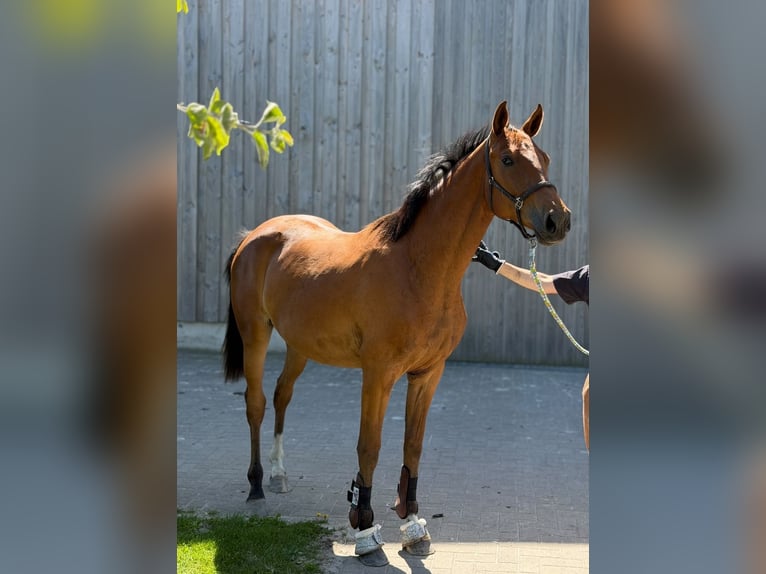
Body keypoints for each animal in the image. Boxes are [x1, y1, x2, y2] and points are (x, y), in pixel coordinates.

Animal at [222, 101, 571, 565]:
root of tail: (256, 236)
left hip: (300, 344)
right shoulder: (379, 374)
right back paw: (257, 483)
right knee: (256, 403)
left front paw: (413, 526)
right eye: (509, 160)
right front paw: (366, 531)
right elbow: (369, 446)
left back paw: (278, 474)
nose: (557, 220)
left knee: (282, 395)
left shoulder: (428, 374)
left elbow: (413, 446)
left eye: (545, 157)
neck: (417, 268)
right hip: (255, 336)